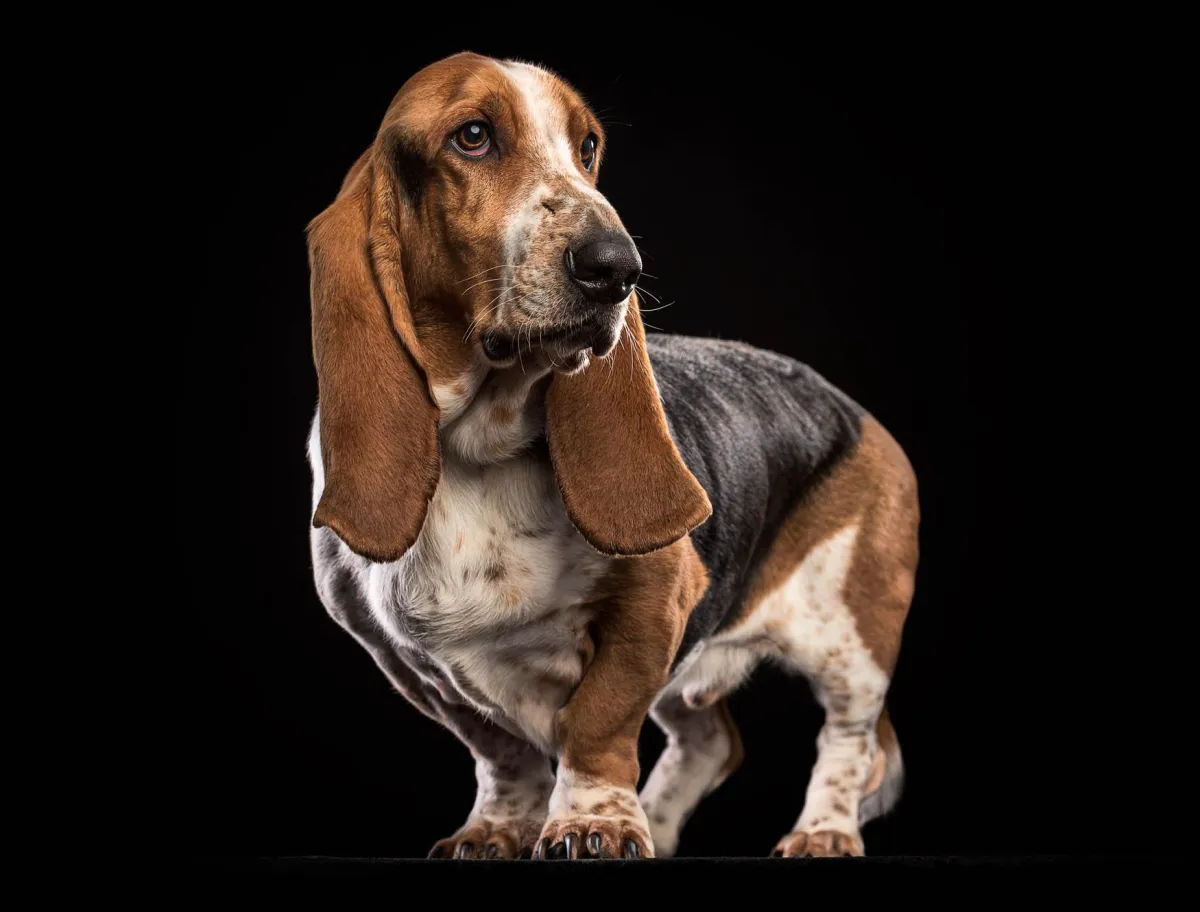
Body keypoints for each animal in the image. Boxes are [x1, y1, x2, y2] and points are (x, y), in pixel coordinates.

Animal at [307, 51, 916, 864]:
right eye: (473, 136)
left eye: (588, 147)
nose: (615, 267)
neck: (477, 454)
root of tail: (857, 411)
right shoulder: (410, 664)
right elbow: (502, 748)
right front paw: (501, 826)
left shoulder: (655, 603)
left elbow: (595, 722)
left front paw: (592, 823)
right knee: (709, 739)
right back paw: (656, 820)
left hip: (854, 640)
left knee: (847, 740)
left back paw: (820, 832)